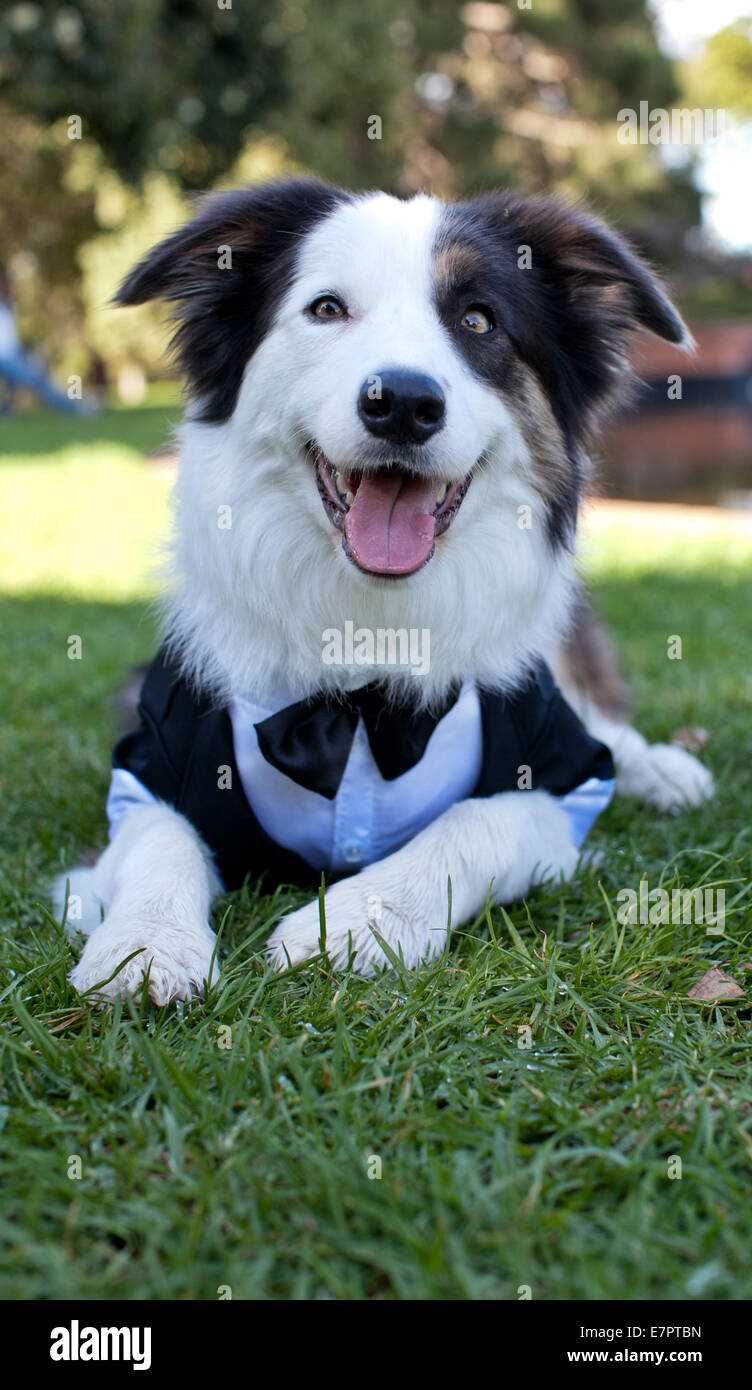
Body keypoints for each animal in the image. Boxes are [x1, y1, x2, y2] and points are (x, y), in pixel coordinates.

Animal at [51, 182, 708, 1000]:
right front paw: (146, 945)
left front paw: (361, 921)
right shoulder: (155, 760)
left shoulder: (555, 787)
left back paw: (666, 770)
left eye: (478, 320)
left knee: (607, 734)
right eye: (327, 308)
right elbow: (157, 844)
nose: (400, 401)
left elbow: (476, 824)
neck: (367, 645)